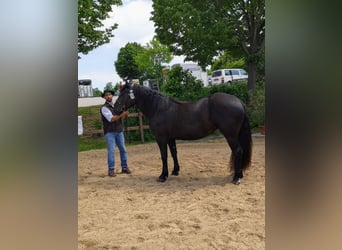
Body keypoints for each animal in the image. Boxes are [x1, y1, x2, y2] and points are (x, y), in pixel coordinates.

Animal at [113, 82, 252, 184]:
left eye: (124, 93)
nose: (115, 109)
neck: (158, 108)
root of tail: (239, 102)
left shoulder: (161, 138)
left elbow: (164, 156)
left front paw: (162, 176)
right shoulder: (170, 138)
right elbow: (174, 153)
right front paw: (175, 171)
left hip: (231, 135)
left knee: (238, 151)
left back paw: (236, 178)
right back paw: (239, 175)